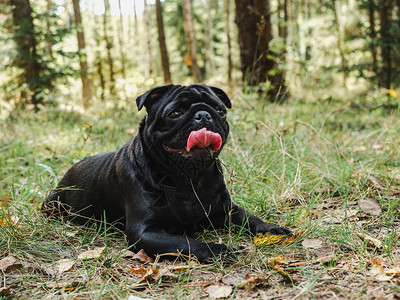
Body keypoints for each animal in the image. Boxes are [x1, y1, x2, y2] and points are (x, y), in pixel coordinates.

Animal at [43, 84, 290, 262]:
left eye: (220, 110)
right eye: (175, 113)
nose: (203, 115)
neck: (189, 179)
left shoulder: (227, 210)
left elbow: (251, 218)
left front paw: (271, 228)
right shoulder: (145, 232)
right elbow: (185, 242)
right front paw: (216, 249)